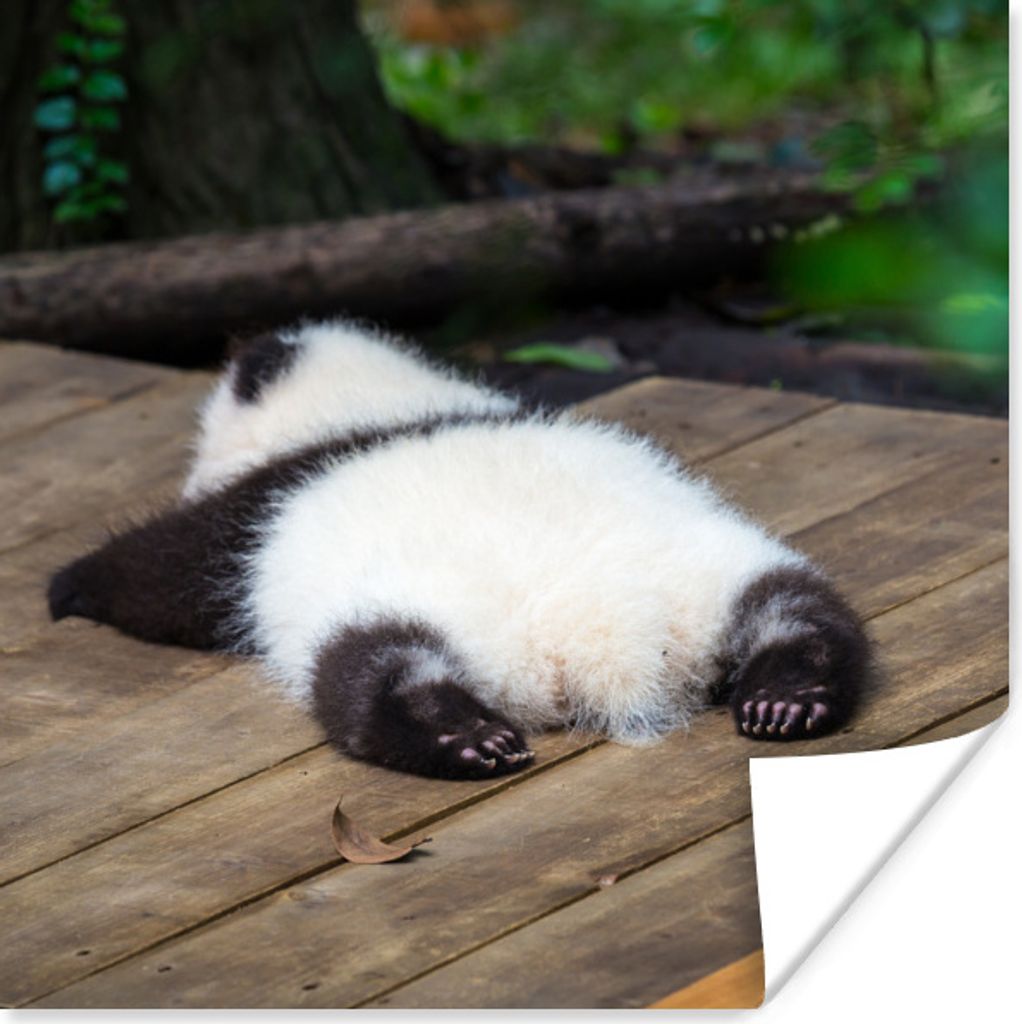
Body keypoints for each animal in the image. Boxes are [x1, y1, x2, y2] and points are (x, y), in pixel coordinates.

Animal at [48, 320, 870, 779]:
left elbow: (166, 574)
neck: (376, 404)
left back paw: (460, 737)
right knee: (801, 611)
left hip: (408, 609)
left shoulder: (257, 509)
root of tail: (604, 635)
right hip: (713, 567)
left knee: (371, 670)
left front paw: (69, 587)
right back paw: (788, 695)